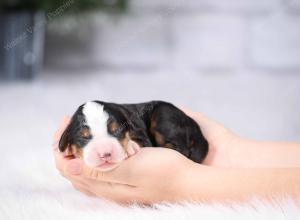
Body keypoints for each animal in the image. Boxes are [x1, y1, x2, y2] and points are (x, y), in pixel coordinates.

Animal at [58, 101, 209, 172]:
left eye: (117, 130)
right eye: (83, 137)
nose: (105, 153)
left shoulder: (142, 135)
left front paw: (130, 147)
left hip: (164, 115)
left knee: (181, 149)